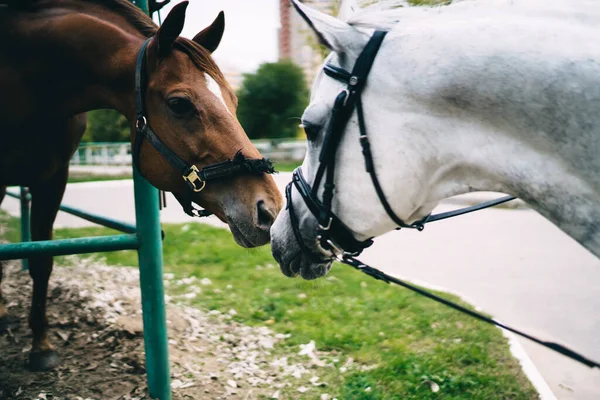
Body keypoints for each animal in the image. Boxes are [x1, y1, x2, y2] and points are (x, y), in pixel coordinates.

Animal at [0, 0, 282, 372]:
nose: (269, 210)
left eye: (233, 100)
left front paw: (41, 345)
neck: (23, 85)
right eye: (179, 104)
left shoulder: (53, 179)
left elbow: (42, 260)